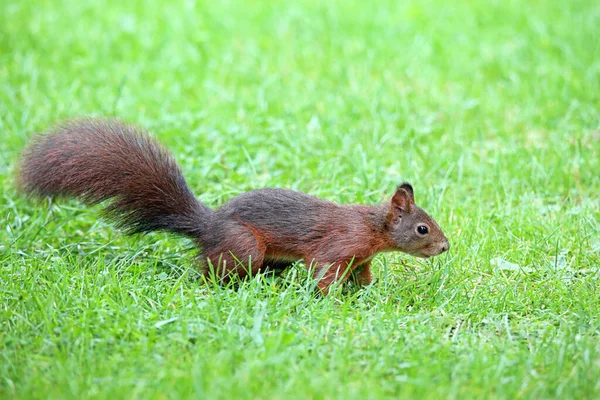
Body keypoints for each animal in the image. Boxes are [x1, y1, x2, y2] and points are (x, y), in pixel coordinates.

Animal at [17, 119, 450, 294]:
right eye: (422, 228)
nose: (446, 247)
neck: (374, 228)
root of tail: (207, 226)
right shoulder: (337, 247)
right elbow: (323, 274)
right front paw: (328, 300)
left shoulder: (361, 257)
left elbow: (363, 276)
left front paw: (367, 294)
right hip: (245, 246)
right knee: (211, 271)